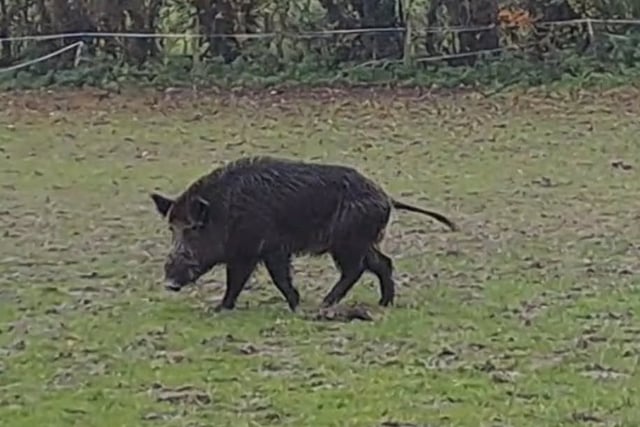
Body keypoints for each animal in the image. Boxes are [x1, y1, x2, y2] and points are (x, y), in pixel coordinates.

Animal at [150, 156, 456, 312]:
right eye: (171, 229)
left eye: (193, 228)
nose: (169, 283)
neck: (226, 211)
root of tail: (387, 197)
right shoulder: (262, 251)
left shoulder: (259, 249)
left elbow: (250, 279)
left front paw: (220, 308)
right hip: (359, 241)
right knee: (382, 262)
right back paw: (383, 303)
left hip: (347, 242)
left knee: (356, 269)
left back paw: (325, 303)